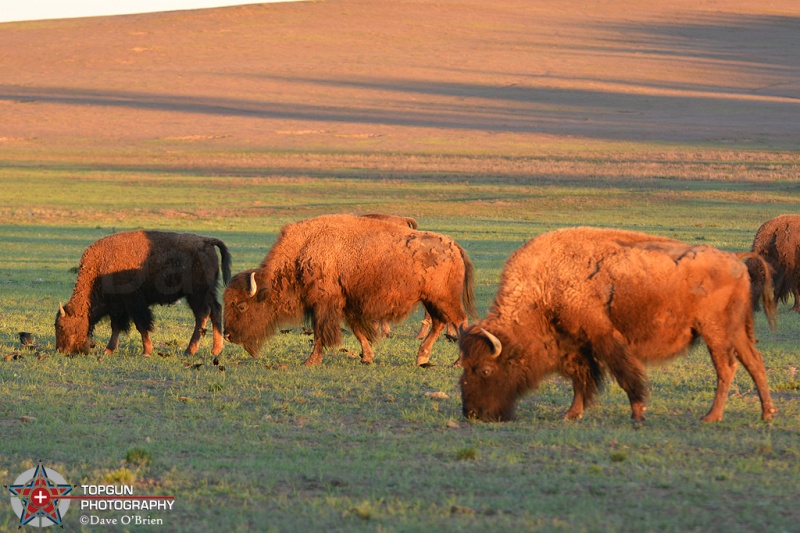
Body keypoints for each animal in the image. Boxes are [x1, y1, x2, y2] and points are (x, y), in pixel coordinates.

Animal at [55, 230, 231, 358]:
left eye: (61, 326)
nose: (61, 350)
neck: (100, 266)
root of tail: (207, 241)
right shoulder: (116, 306)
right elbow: (116, 326)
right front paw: (108, 350)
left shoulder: (133, 303)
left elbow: (140, 325)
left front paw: (146, 351)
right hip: (207, 293)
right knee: (216, 310)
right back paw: (215, 350)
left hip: (196, 294)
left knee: (203, 314)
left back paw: (189, 351)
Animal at [222, 214, 476, 364]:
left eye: (241, 305)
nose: (227, 335)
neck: (303, 251)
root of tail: (454, 246)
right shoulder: (346, 304)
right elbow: (357, 331)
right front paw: (367, 357)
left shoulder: (324, 304)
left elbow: (320, 333)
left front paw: (311, 361)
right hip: (431, 299)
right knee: (439, 323)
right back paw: (421, 358)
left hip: (444, 299)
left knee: (460, 322)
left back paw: (457, 362)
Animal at [460, 228, 780, 424]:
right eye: (464, 366)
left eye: (485, 370)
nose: (472, 413)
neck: (543, 287)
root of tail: (734, 258)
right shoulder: (576, 345)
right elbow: (582, 379)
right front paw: (572, 414)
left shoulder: (602, 336)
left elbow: (624, 374)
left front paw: (637, 413)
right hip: (736, 331)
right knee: (754, 363)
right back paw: (767, 414)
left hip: (714, 331)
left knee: (726, 367)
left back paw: (711, 416)